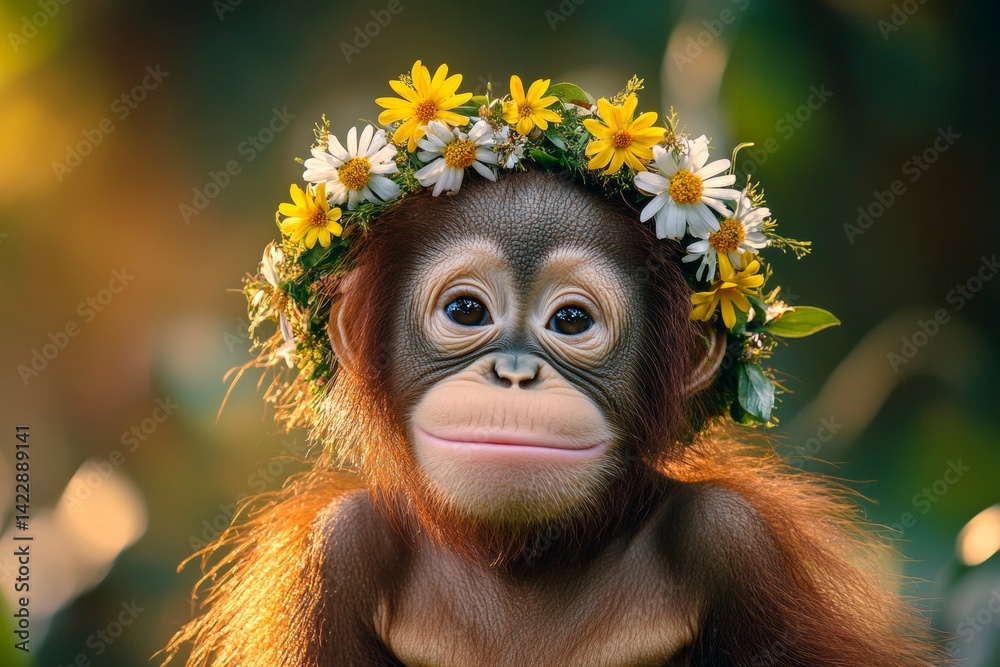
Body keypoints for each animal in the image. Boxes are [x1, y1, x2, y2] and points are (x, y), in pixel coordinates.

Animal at [165, 171, 947, 667]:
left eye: (570, 321)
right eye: (466, 311)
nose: (515, 373)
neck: (525, 558)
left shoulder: (736, 539)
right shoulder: (331, 556)